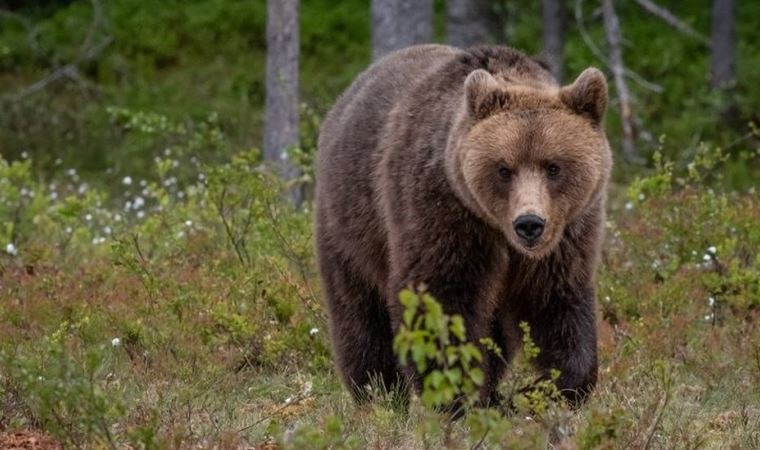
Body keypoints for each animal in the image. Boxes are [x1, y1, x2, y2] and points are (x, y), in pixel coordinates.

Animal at [314, 45, 612, 408]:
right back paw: (378, 393)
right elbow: (441, 297)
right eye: (504, 169)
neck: (498, 230)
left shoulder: (567, 234)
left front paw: (544, 390)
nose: (529, 224)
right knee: (360, 313)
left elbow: (556, 301)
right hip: (352, 222)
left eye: (553, 166)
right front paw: (456, 394)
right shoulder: (443, 212)